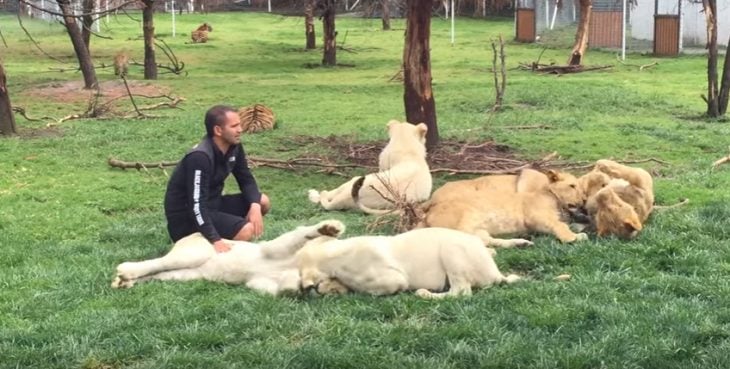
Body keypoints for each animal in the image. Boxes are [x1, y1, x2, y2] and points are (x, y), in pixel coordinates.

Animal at [111, 220, 344, 294]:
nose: (323, 288)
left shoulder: (258, 281)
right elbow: (301, 234)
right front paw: (330, 228)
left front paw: (303, 287)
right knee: (156, 262)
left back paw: (122, 282)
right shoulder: (271, 249)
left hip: (185, 274)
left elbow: (284, 288)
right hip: (191, 256)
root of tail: (192, 234)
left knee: (158, 272)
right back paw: (125, 271)